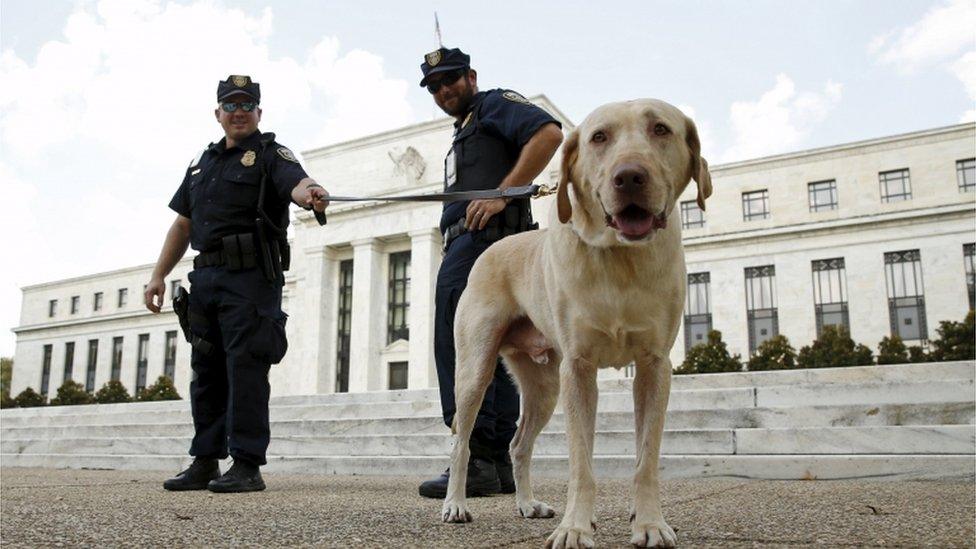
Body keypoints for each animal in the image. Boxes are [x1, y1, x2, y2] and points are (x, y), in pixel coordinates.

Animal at [440, 99, 708, 548]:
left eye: (660, 129)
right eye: (598, 137)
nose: (629, 176)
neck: (620, 259)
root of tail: (493, 247)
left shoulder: (654, 367)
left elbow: (646, 457)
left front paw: (649, 522)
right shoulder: (578, 369)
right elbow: (581, 461)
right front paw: (576, 528)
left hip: (545, 385)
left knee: (518, 444)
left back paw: (527, 503)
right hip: (475, 370)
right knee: (462, 439)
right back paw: (455, 504)